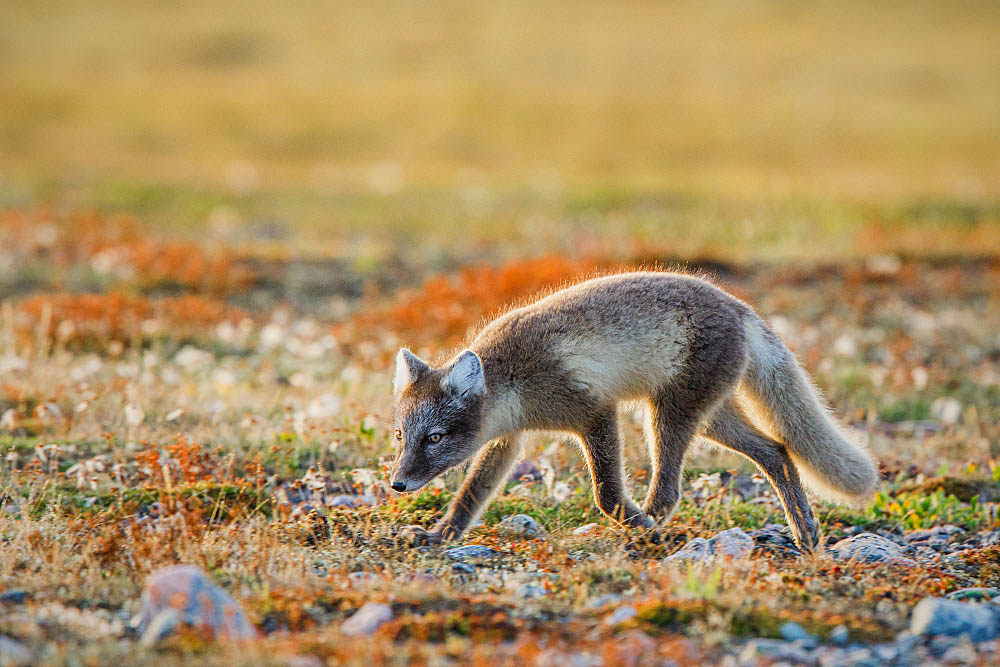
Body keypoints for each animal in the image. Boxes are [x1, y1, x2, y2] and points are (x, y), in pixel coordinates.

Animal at [388, 268, 876, 552]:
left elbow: (606, 494)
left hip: (667, 415)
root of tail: (740, 307)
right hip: (710, 418)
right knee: (778, 451)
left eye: (434, 437)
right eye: (400, 436)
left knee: (670, 492)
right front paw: (439, 537)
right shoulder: (507, 441)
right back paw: (806, 533)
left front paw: (630, 520)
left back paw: (643, 529)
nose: (396, 484)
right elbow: (470, 497)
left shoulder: (595, 413)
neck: (512, 382)